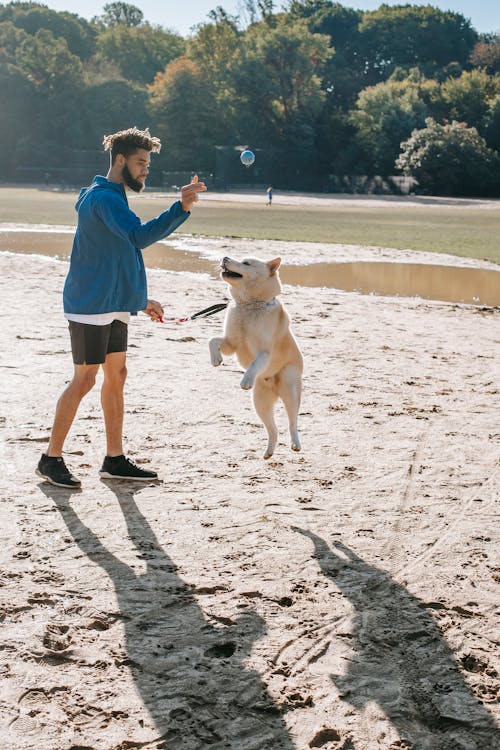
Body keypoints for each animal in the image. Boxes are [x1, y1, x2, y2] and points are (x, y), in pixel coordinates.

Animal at [209, 258, 302, 458]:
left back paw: (295, 443)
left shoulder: (265, 353)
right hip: (260, 403)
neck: (249, 305)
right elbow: (212, 340)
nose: (224, 257)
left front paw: (246, 380)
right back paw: (268, 452)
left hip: (290, 392)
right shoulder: (230, 344)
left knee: (292, 422)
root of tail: (274, 387)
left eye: (246, 263)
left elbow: (255, 363)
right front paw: (215, 359)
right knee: (273, 430)